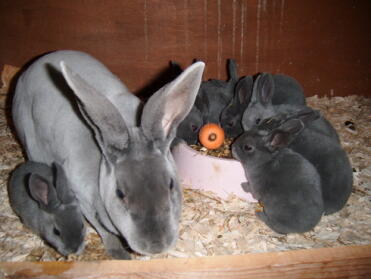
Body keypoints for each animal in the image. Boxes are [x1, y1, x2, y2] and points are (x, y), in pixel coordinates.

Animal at [11, 50, 205, 260]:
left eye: (170, 184)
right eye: (119, 193)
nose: (157, 246)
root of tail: (31, 67)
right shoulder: (81, 200)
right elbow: (104, 231)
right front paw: (121, 255)